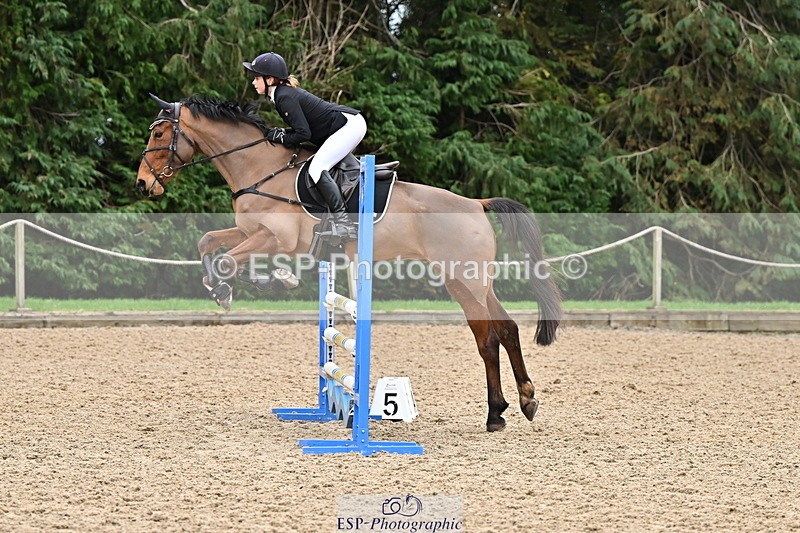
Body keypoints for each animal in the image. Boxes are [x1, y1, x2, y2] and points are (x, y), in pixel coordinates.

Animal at [136, 94, 562, 432]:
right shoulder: (249, 232)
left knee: (487, 339)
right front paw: (226, 288)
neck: (258, 168)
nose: (143, 184)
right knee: (507, 328)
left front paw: (260, 282)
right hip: (477, 282)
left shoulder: (275, 239)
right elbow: (209, 243)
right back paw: (524, 401)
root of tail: (476, 203)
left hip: (462, 282)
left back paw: (494, 415)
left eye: (159, 135)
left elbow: (227, 261)